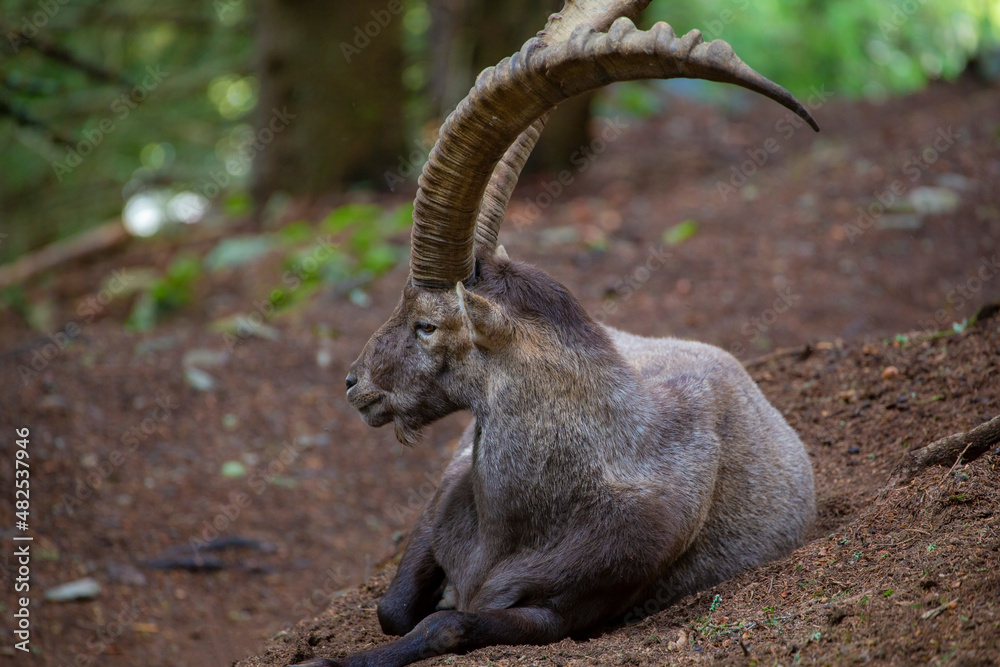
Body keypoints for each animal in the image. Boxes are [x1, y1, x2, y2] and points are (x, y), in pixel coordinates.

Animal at [312, 1, 820, 667]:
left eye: (426, 324)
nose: (355, 383)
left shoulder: (566, 610)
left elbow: (445, 625)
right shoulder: (442, 498)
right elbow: (392, 609)